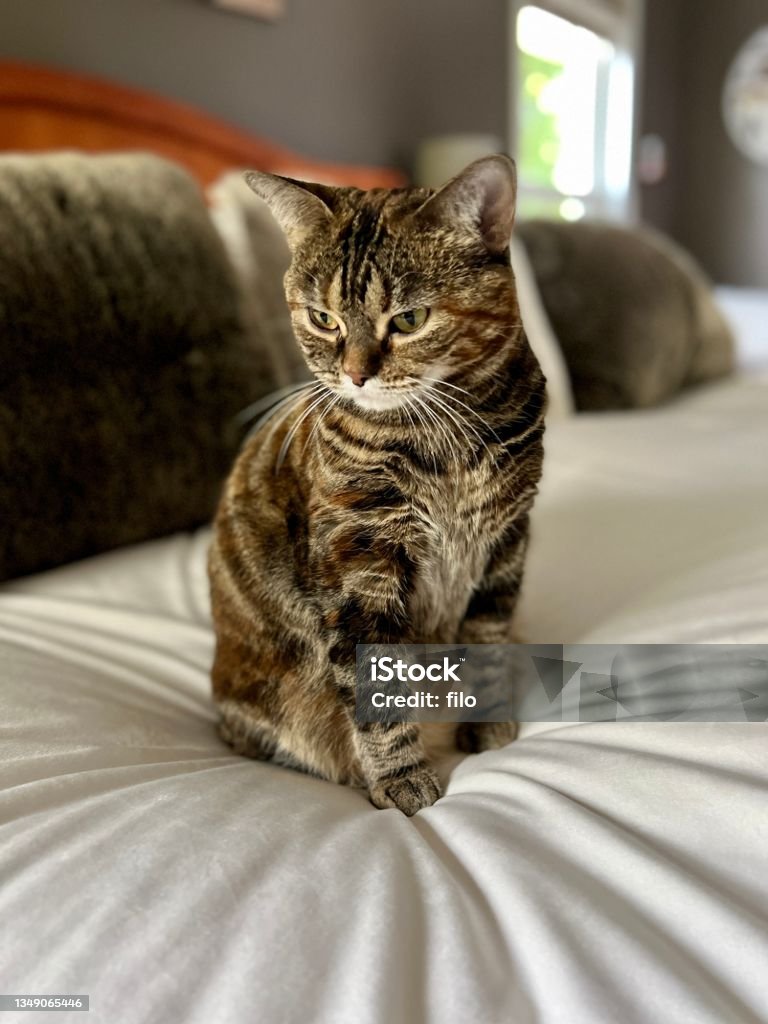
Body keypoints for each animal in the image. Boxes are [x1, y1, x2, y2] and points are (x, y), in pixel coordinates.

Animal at [208, 153, 548, 815]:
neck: (449, 441)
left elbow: (489, 640)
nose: (354, 374)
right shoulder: (359, 561)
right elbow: (379, 687)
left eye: (410, 319)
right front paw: (401, 780)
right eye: (323, 319)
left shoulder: (507, 543)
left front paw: (485, 723)